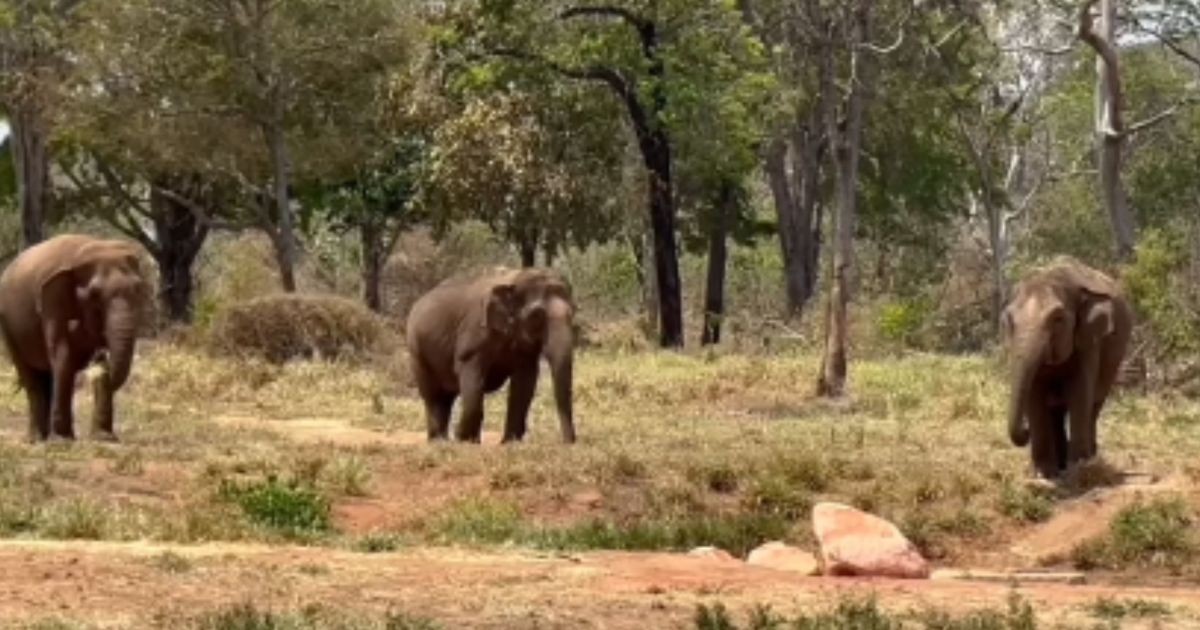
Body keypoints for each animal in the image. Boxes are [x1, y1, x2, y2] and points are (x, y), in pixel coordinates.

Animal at [0, 234, 149, 442]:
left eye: (138, 289)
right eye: (94, 294)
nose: (98, 371)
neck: (86, 251)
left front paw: (104, 438)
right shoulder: (52, 303)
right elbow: (62, 354)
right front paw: (62, 441)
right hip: (7, 325)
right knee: (30, 376)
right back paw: (37, 440)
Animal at [405, 266, 576, 444]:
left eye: (573, 312)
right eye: (536, 316)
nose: (568, 442)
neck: (514, 280)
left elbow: (524, 381)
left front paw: (509, 443)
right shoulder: (474, 332)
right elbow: (472, 375)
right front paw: (464, 440)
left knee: (446, 397)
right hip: (416, 352)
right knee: (433, 396)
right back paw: (439, 441)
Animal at [1002, 256, 1132, 479]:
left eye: (1057, 319)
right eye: (1010, 320)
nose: (1026, 431)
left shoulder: (1088, 341)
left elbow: (1080, 392)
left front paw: (1077, 470)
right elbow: (1034, 394)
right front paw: (1042, 474)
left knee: (1093, 406)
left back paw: (1088, 459)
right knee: (1056, 410)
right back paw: (1060, 464)